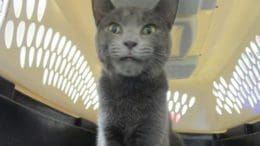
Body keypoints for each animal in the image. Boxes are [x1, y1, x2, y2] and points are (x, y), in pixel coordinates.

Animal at [92, 0, 184, 145]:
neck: (130, 88)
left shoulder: (152, 130)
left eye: (149, 29)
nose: (130, 42)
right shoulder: (107, 129)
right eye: (114, 28)